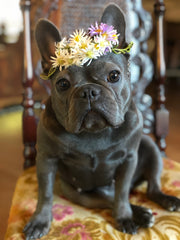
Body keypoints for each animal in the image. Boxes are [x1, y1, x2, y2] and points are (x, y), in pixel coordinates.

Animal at [23, 3, 180, 240]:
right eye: (62, 84)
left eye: (113, 76)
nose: (88, 91)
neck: (94, 132)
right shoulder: (46, 160)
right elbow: (45, 194)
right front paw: (39, 221)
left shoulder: (128, 159)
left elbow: (122, 193)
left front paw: (124, 217)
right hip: (79, 194)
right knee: (106, 199)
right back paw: (141, 213)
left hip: (151, 147)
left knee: (150, 187)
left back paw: (164, 201)